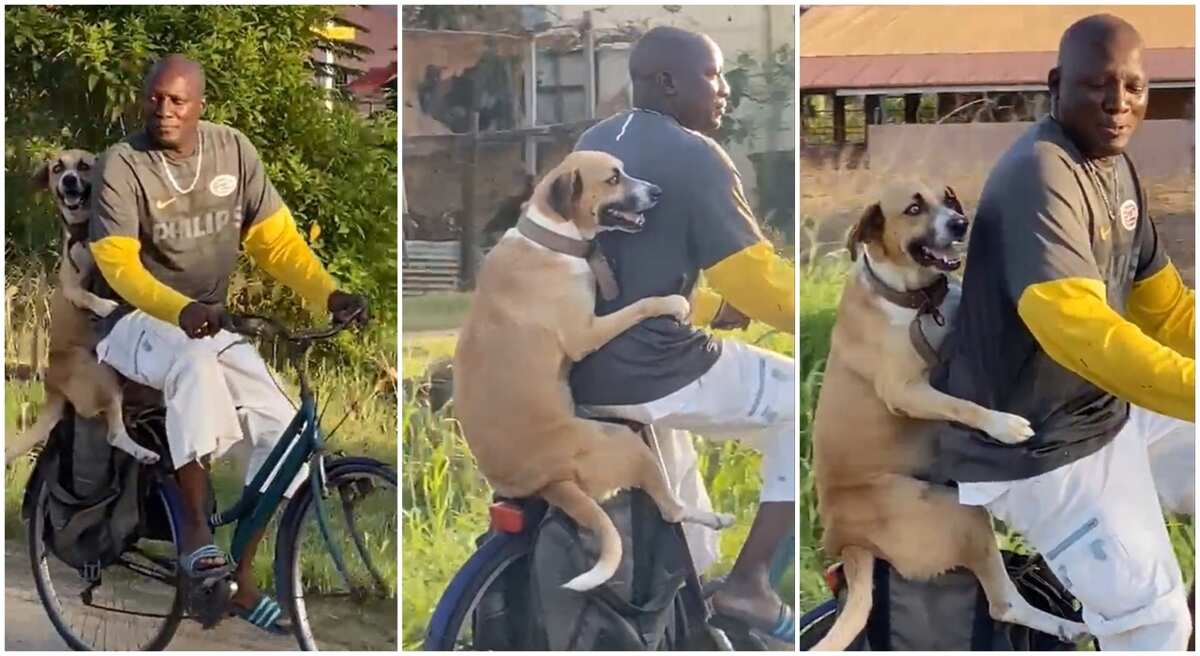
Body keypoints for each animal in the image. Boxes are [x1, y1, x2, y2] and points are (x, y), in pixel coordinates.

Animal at [5, 148, 162, 467]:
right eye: (56, 168)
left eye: (84, 166)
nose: (68, 180)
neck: (86, 231)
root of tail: (53, 388)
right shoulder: (71, 283)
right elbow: (84, 295)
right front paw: (104, 306)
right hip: (102, 378)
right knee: (113, 433)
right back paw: (143, 451)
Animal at [451, 151, 729, 592]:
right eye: (613, 178)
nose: (657, 191)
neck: (551, 236)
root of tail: (550, 484)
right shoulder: (587, 332)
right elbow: (641, 305)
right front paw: (672, 303)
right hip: (627, 445)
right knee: (670, 509)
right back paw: (713, 518)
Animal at [806, 181, 1089, 652]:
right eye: (914, 208)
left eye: (950, 199)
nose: (960, 223)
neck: (916, 301)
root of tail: (848, 543)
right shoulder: (907, 391)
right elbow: (962, 405)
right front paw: (1003, 424)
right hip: (958, 515)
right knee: (1003, 604)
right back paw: (1068, 627)